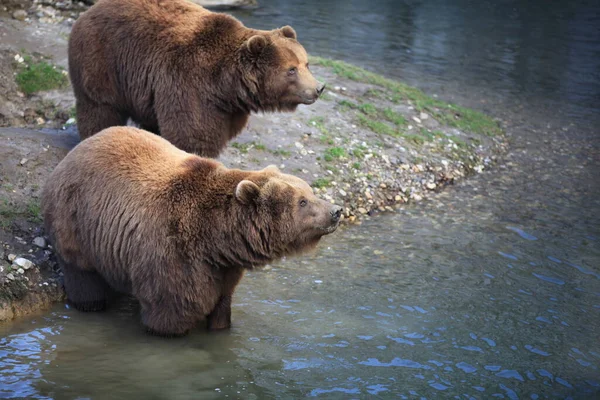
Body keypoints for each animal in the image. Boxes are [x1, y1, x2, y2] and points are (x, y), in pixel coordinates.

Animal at [41, 126, 342, 336]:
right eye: (302, 201)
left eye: (310, 191)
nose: (336, 210)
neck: (217, 238)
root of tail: (72, 153)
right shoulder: (172, 253)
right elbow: (172, 309)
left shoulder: (224, 269)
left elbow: (221, 306)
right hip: (75, 221)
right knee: (82, 275)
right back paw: (91, 303)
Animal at [68, 0, 326, 156]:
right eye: (291, 70)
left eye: (306, 63)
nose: (318, 88)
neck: (226, 86)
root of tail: (89, 10)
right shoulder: (189, 84)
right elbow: (193, 136)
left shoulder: (228, 110)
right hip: (102, 60)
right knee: (100, 108)